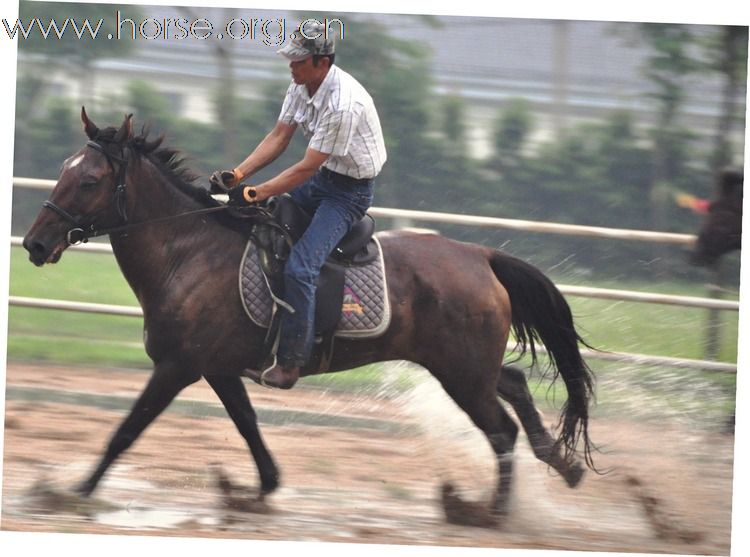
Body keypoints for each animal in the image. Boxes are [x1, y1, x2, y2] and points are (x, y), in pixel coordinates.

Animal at [23, 111, 596, 520]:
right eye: (65, 172)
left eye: (90, 180)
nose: (35, 243)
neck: (189, 251)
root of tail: (481, 256)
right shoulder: (217, 368)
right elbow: (248, 426)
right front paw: (255, 492)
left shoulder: (178, 368)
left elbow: (126, 430)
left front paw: (72, 492)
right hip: (467, 367)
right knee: (515, 385)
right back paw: (560, 463)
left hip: (462, 375)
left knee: (501, 432)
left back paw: (489, 513)